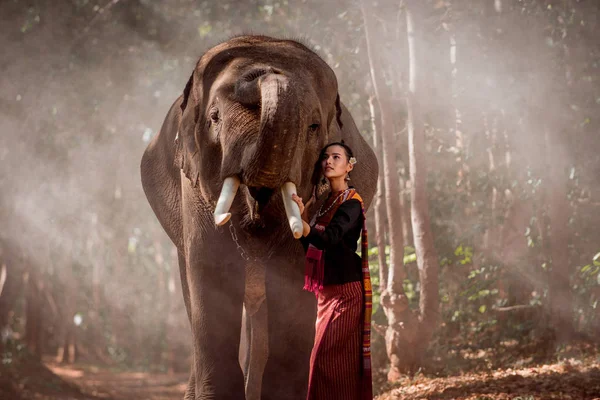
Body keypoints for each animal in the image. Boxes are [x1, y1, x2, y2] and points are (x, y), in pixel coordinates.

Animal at [139, 35, 380, 400]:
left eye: (313, 127)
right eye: (214, 117)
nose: (262, 73)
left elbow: (294, 275)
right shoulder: (192, 182)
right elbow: (213, 267)